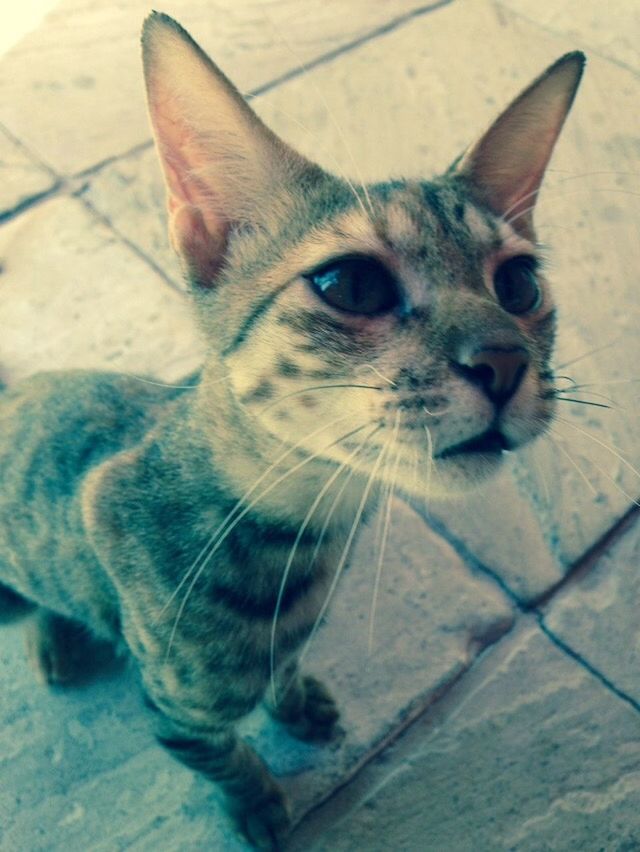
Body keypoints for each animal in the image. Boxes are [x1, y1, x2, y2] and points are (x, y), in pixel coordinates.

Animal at [0, 11, 584, 852]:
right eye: (352, 283)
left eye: (520, 284)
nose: (504, 361)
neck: (302, 520)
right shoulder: (173, 712)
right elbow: (226, 756)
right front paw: (256, 801)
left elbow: (281, 672)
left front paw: (294, 696)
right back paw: (57, 635)